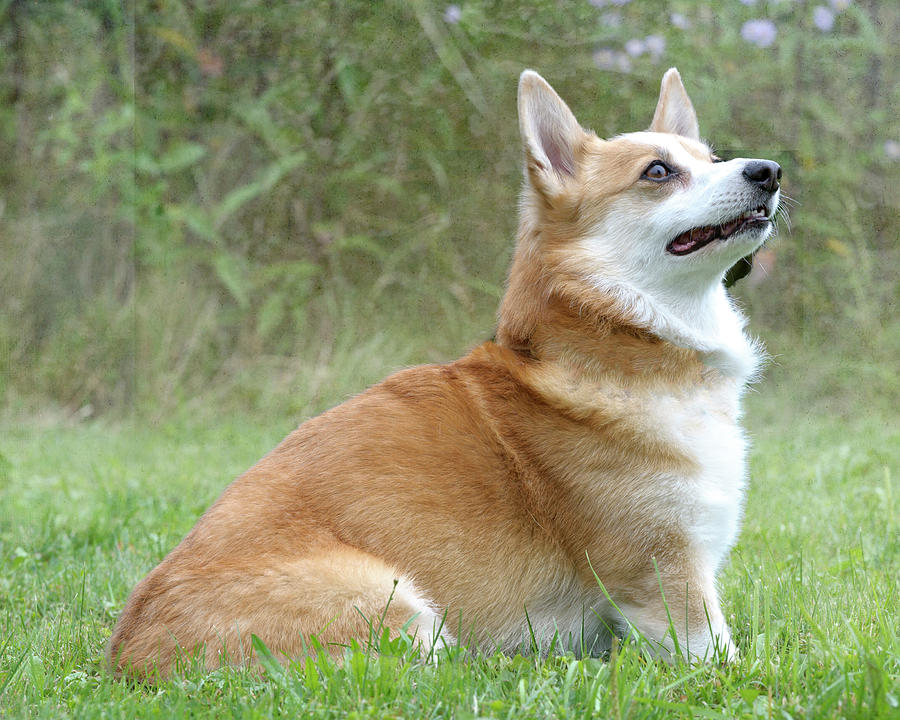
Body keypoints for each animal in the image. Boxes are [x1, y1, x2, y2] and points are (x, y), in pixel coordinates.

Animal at [107, 64, 780, 676]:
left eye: (713, 157)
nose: (768, 171)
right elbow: (720, 654)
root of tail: (131, 662)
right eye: (658, 171)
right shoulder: (665, 574)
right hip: (399, 606)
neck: (621, 336)